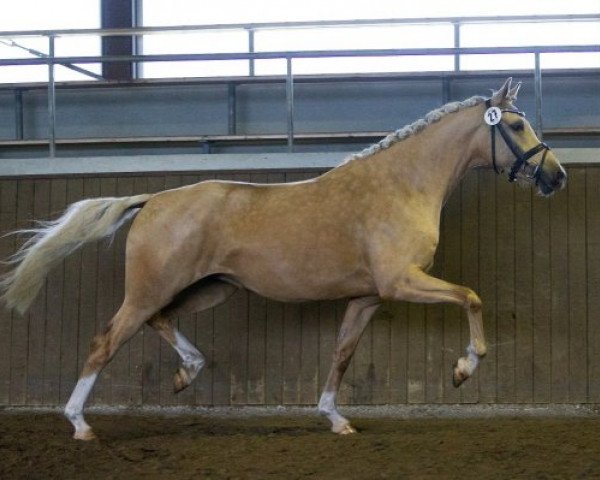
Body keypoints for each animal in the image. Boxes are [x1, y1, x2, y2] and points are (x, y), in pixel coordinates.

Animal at [0, 78, 564, 438]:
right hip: (149, 289)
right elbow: (470, 296)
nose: (556, 176)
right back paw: (80, 424)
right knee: (105, 341)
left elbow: (342, 353)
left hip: (208, 288)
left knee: (162, 322)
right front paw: (464, 369)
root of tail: (153, 200)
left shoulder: (367, 297)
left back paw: (186, 372)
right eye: (516, 126)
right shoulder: (402, 281)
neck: (401, 185)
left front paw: (336, 419)